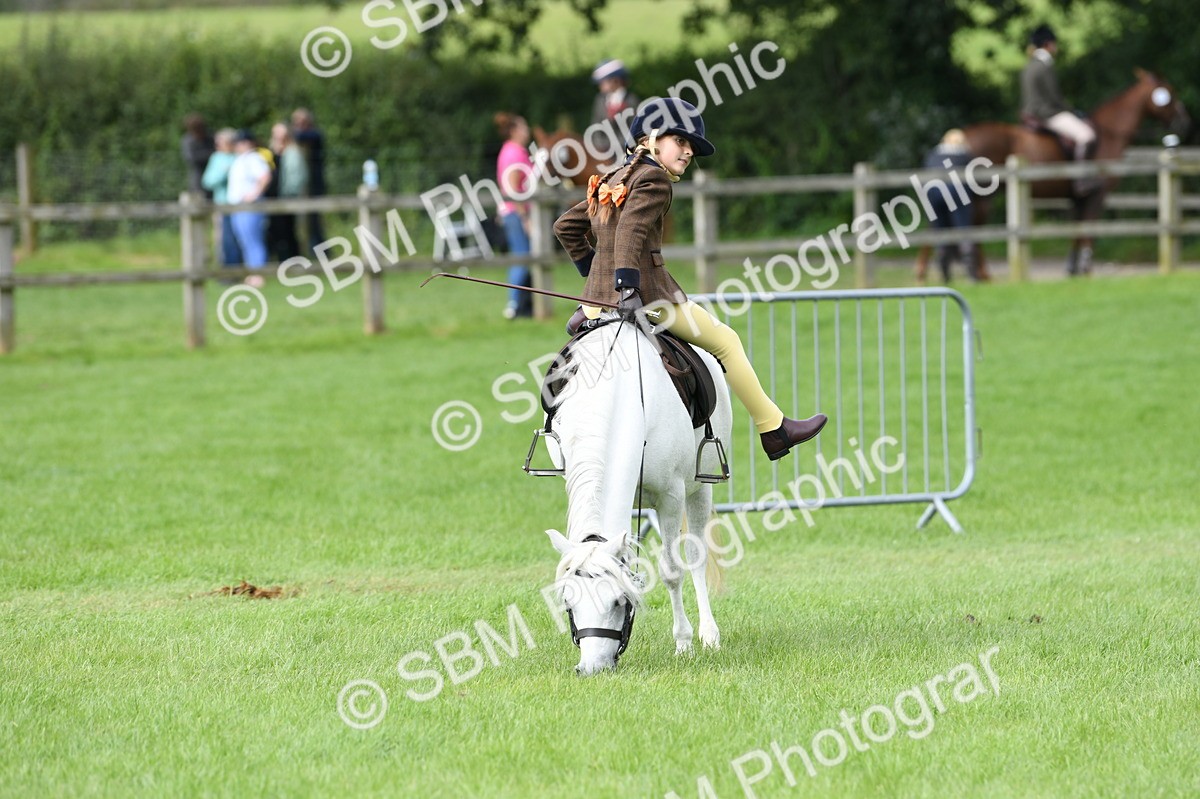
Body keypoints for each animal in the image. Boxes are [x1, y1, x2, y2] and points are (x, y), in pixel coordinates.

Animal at [543, 317, 733, 675]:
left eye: (619, 601)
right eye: (569, 603)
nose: (591, 668)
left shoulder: (670, 497)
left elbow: (672, 572)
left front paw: (683, 642)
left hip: (700, 488)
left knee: (697, 556)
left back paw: (709, 634)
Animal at [916, 69, 1191, 280]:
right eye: (1169, 93)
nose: (1184, 122)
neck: (1109, 134)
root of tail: (963, 136)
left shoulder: (1076, 199)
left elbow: (1076, 231)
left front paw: (1072, 269)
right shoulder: (1096, 195)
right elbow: (1088, 230)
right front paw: (1085, 269)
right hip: (980, 197)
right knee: (970, 232)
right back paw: (973, 273)